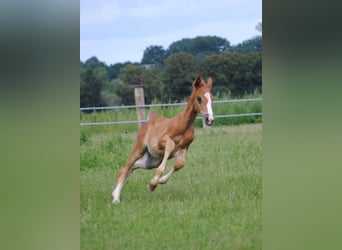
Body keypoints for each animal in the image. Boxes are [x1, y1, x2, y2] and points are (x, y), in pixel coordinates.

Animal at [111, 75, 214, 203]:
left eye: (212, 98)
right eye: (199, 98)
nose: (210, 119)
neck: (183, 126)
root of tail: (151, 118)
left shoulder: (183, 149)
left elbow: (180, 164)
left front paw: (157, 182)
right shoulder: (160, 143)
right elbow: (170, 146)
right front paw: (152, 183)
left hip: (151, 161)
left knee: (132, 167)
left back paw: (115, 194)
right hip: (140, 149)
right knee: (125, 168)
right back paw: (116, 198)